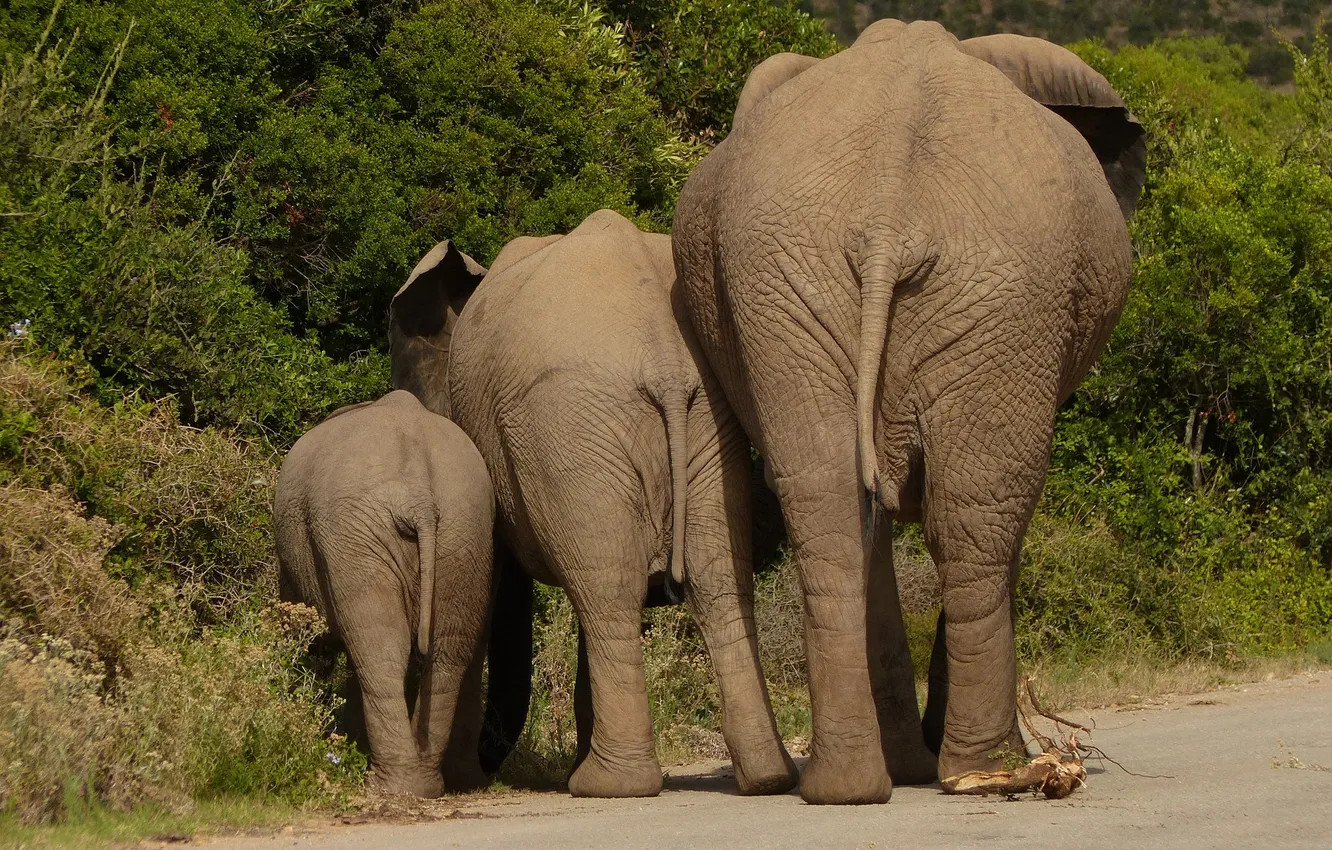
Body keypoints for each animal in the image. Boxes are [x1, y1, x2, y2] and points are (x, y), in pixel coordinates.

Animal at [274, 390, 496, 797]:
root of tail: (419, 496)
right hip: (464, 529)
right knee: (446, 651)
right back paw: (421, 787)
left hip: (356, 534)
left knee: (381, 649)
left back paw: (385, 787)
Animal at [388, 209, 798, 798]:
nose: (491, 767)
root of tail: (664, 354)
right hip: (701, 423)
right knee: (712, 580)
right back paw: (766, 778)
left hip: (564, 420)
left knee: (608, 590)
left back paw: (607, 784)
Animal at [671, 19, 1146, 804]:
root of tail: (887, 209)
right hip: (1005, 297)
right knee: (977, 511)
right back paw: (986, 767)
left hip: (793, 281)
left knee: (830, 498)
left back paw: (848, 787)